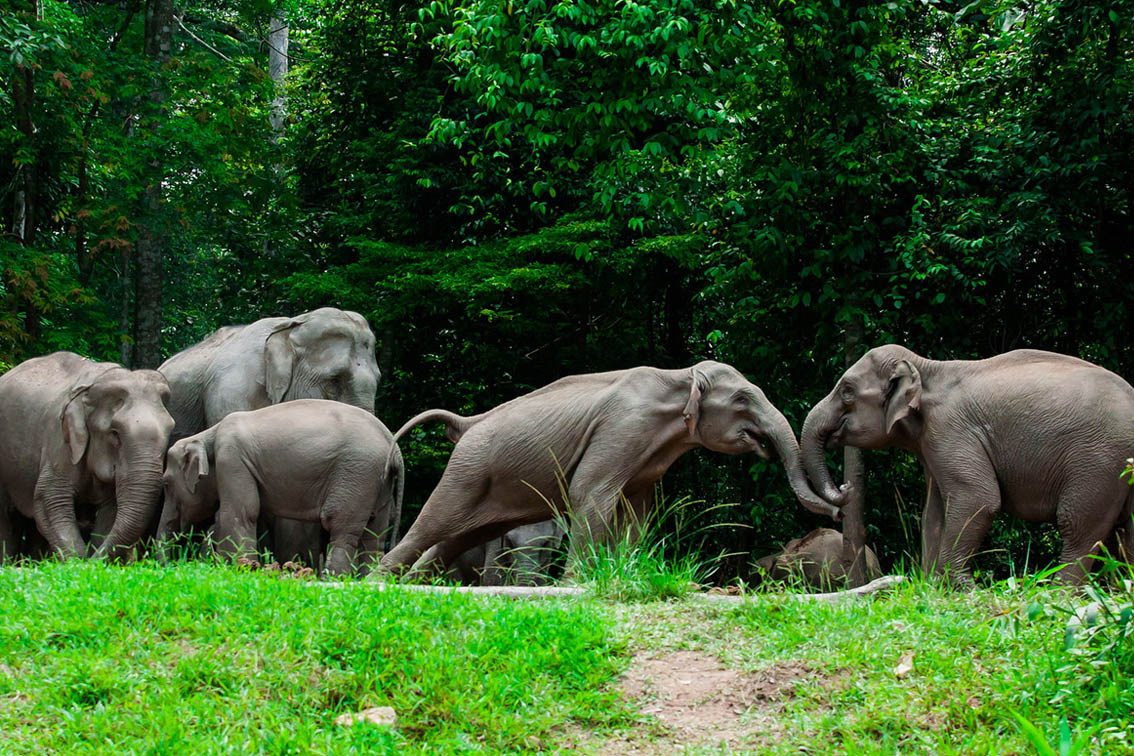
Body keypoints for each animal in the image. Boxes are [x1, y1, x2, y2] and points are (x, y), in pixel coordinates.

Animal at [0, 352, 174, 560]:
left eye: (170, 430)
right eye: (115, 433)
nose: (95, 559)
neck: (89, 391)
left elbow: (110, 510)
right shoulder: (60, 443)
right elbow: (49, 500)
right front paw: (79, 561)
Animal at [156, 399, 404, 575]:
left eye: (166, 484)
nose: (166, 566)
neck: (208, 434)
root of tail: (394, 448)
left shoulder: (232, 458)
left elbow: (241, 512)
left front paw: (242, 569)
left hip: (357, 472)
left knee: (341, 527)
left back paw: (334, 578)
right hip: (378, 482)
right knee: (375, 532)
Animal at [379, 360, 842, 577]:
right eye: (743, 399)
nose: (842, 501)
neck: (680, 376)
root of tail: (466, 423)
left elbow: (639, 511)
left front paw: (628, 569)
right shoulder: (623, 428)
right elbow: (590, 494)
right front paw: (576, 584)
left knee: (449, 542)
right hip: (468, 472)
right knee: (430, 526)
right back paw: (375, 582)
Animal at [801, 344, 1134, 587]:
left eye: (847, 391)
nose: (845, 489)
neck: (927, 369)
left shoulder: (950, 429)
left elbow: (979, 499)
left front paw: (961, 587)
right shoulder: (932, 443)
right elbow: (932, 513)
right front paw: (932, 586)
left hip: (1099, 459)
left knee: (1077, 525)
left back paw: (1059, 594)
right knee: (1125, 531)